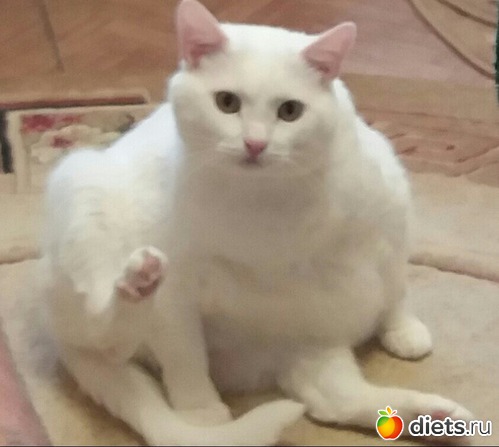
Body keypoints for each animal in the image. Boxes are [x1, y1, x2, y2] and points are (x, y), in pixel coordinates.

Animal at [39, 0, 475, 445]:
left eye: (290, 111)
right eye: (227, 103)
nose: (255, 144)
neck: (267, 202)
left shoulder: (390, 218)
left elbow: (396, 289)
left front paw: (403, 330)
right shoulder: (177, 294)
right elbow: (183, 355)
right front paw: (200, 411)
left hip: (315, 338)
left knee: (335, 401)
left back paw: (436, 417)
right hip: (80, 189)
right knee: (111, 337)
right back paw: (137, 282)